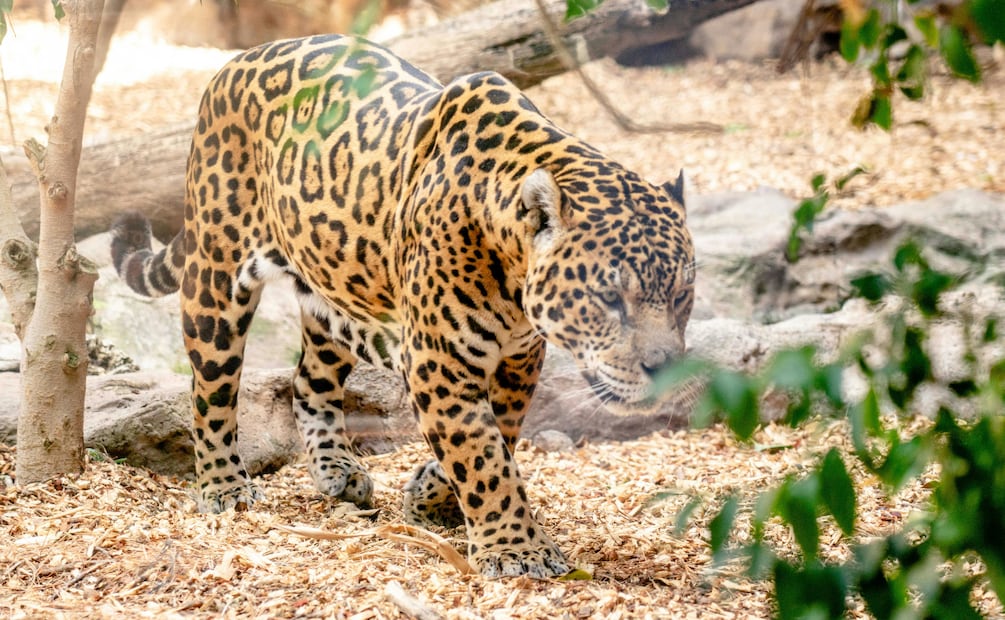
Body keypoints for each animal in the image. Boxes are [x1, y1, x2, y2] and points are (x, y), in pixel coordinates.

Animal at [110, 33, 695, 579]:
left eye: (682, 295)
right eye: (610, 299)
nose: (665, 368)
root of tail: (235, 61)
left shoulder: (519, 359)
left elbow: (498, 437)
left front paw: (431, 496)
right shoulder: (439, 360)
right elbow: (481, 453)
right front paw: (516, 549)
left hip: (336, 295)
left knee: (308, 382)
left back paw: (337, 470)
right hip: (216, 276)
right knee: (210, 388)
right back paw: (224, 485)